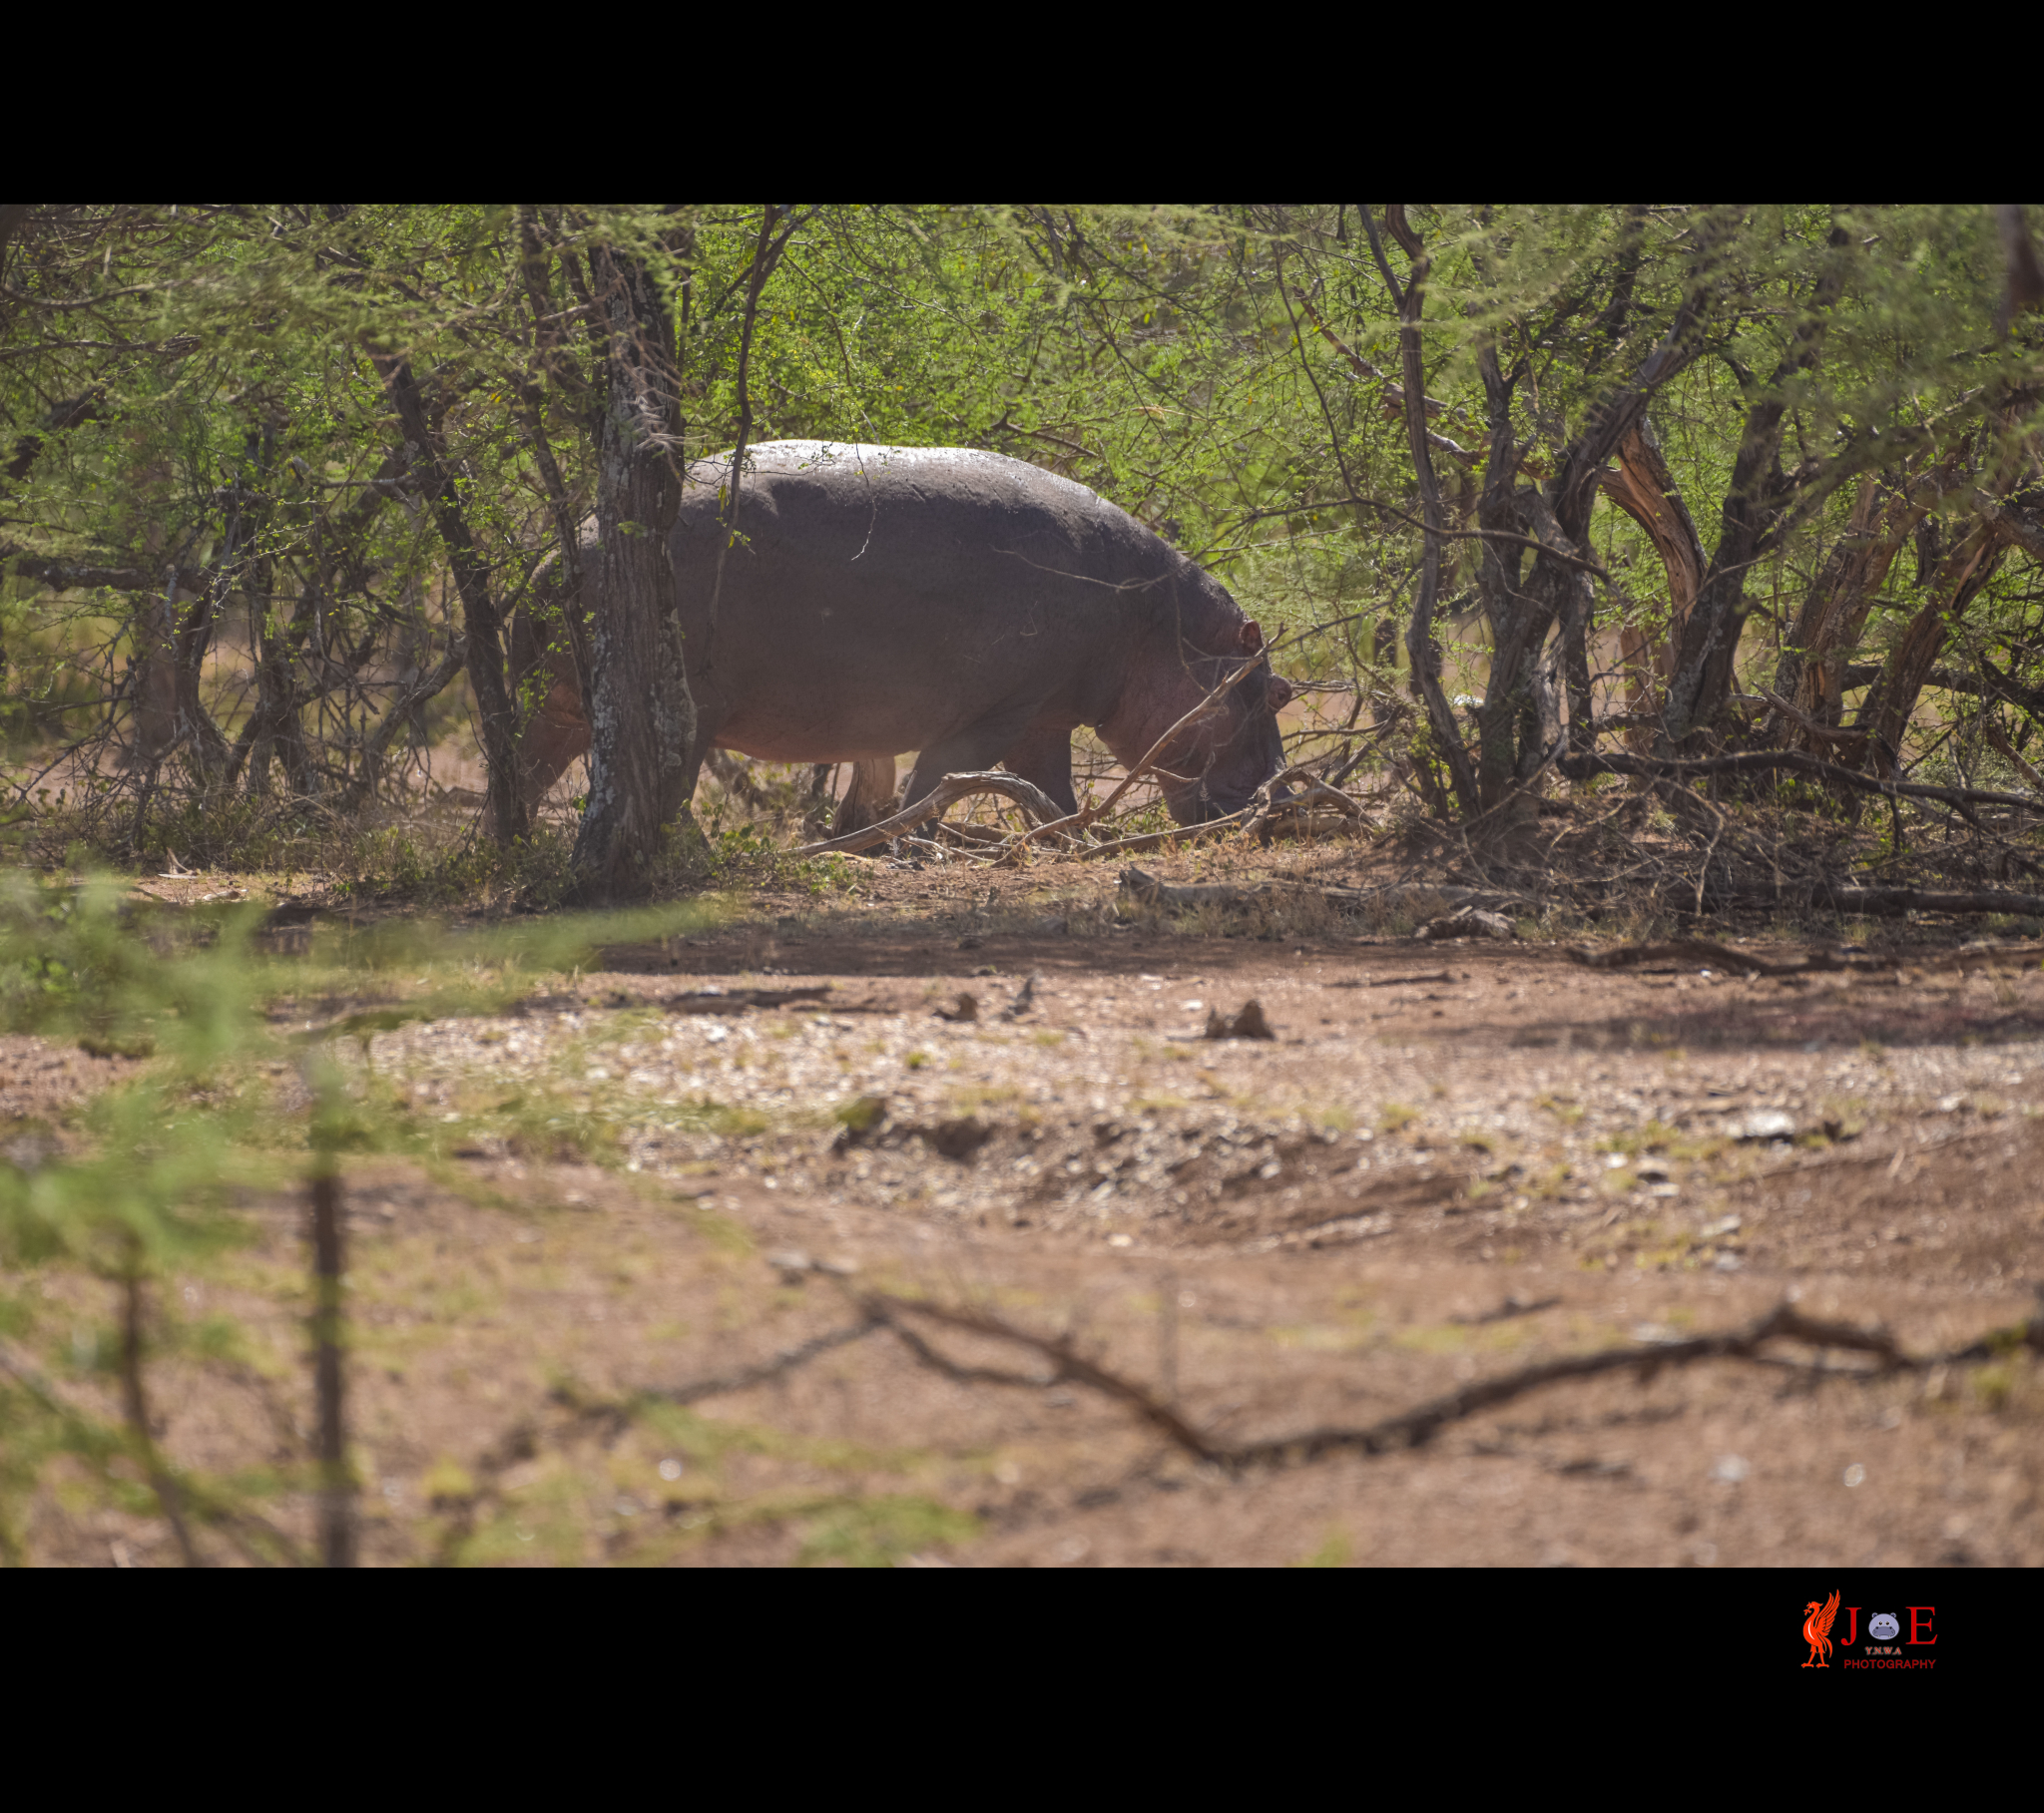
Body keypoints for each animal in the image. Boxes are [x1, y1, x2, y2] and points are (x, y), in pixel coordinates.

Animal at [519, 443, 1291, 833]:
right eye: (1261, 691)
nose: (1279, 800)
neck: (1154, 623)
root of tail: (569, 550)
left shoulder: (1044, 716)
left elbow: (1051, 794)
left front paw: (1065, 838)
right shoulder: (998, 711)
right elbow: (938, 781)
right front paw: (908, 843)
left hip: (557, 708)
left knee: (528, 780)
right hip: (685, 711)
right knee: (666, 795)